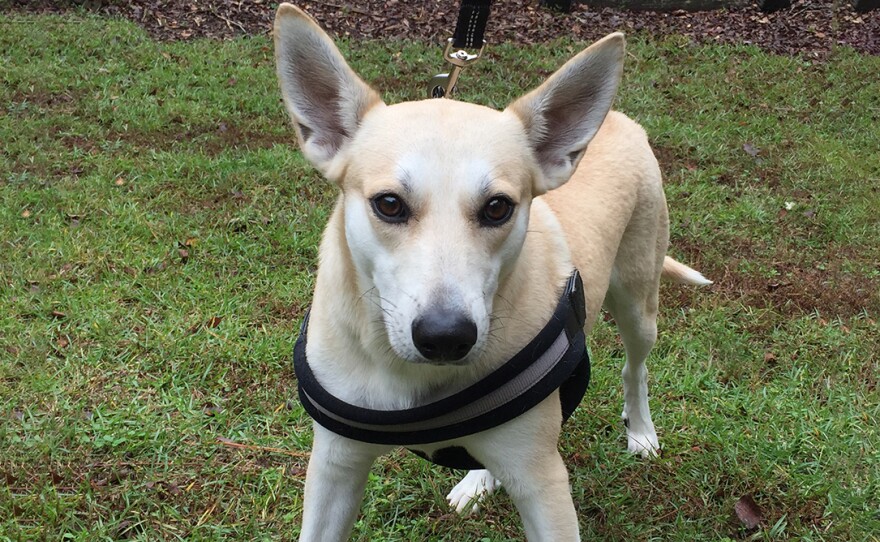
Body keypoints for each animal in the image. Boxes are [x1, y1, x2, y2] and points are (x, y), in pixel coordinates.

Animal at [276, 3, 716, 540]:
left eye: (497, 208)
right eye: (389, 204)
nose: (446, 336)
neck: (406, 376)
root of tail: (616, 118)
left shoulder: (542, 486)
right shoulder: (335, 468)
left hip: (638, 299)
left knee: (636, 368)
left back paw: (642, 432)